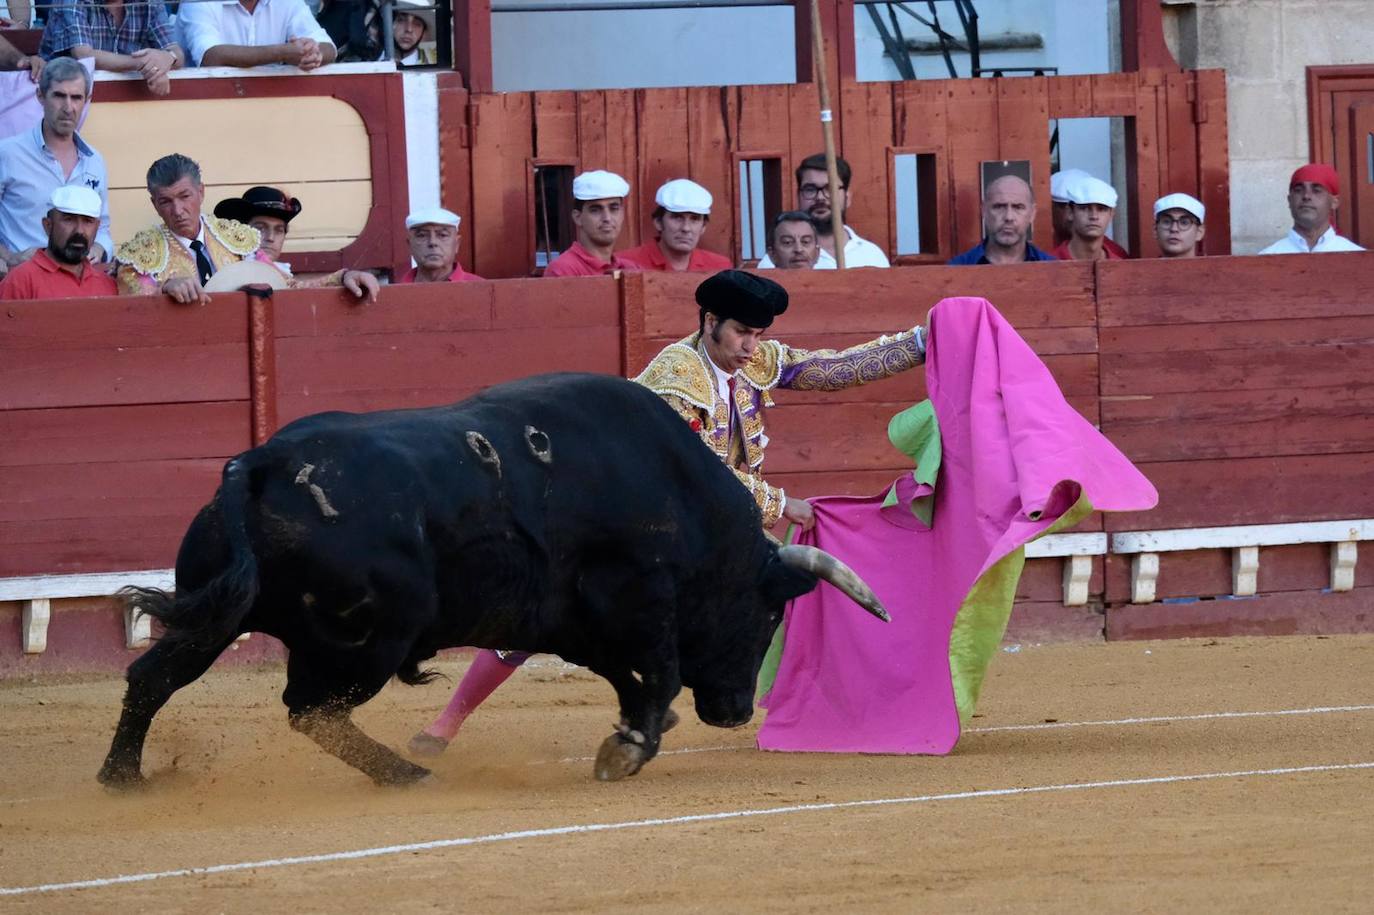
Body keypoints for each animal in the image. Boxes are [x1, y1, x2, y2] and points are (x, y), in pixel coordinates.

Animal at [99, 370, 890, 785]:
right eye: (768, 616)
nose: (734, 711)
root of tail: (259, 462)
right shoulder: (637, 601)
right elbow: (658, 672)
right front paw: (628, 748)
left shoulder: (572, 619)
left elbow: (632, 679)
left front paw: (636, 732)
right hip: (370, 640)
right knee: (309, 707)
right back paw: (404, 772)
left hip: (215, 615)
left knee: (153, 678)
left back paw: (123, 776)